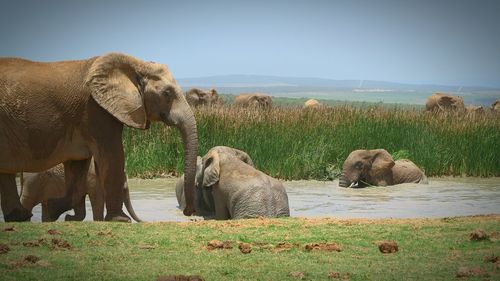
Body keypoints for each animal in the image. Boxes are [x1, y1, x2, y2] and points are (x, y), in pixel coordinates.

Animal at [0, 51, 199, 220]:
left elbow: (78, 167)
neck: (135, 64)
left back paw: (20, 217)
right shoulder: (95, 109)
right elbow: (113, 154)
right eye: (167, 93)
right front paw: (120, 220)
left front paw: (57, 210)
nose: (188, 212)